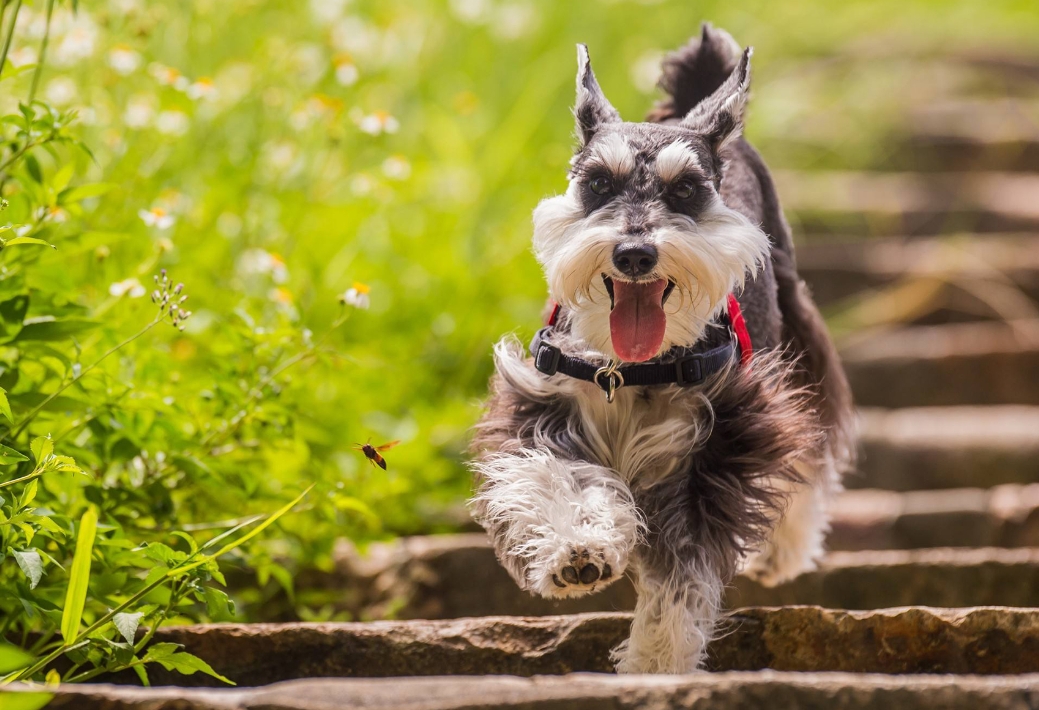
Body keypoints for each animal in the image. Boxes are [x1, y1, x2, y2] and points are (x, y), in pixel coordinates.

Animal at [469, 24, 851, 673]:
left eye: (688, 190)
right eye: (597, 182)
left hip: (797, 333)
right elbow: (558, 477)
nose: (634, 254)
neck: (632, 369)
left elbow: (682, 571)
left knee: (812, 445)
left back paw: (785, 550)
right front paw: (577, 549)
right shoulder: (542, 406)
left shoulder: (717, 446)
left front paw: (657, 661)